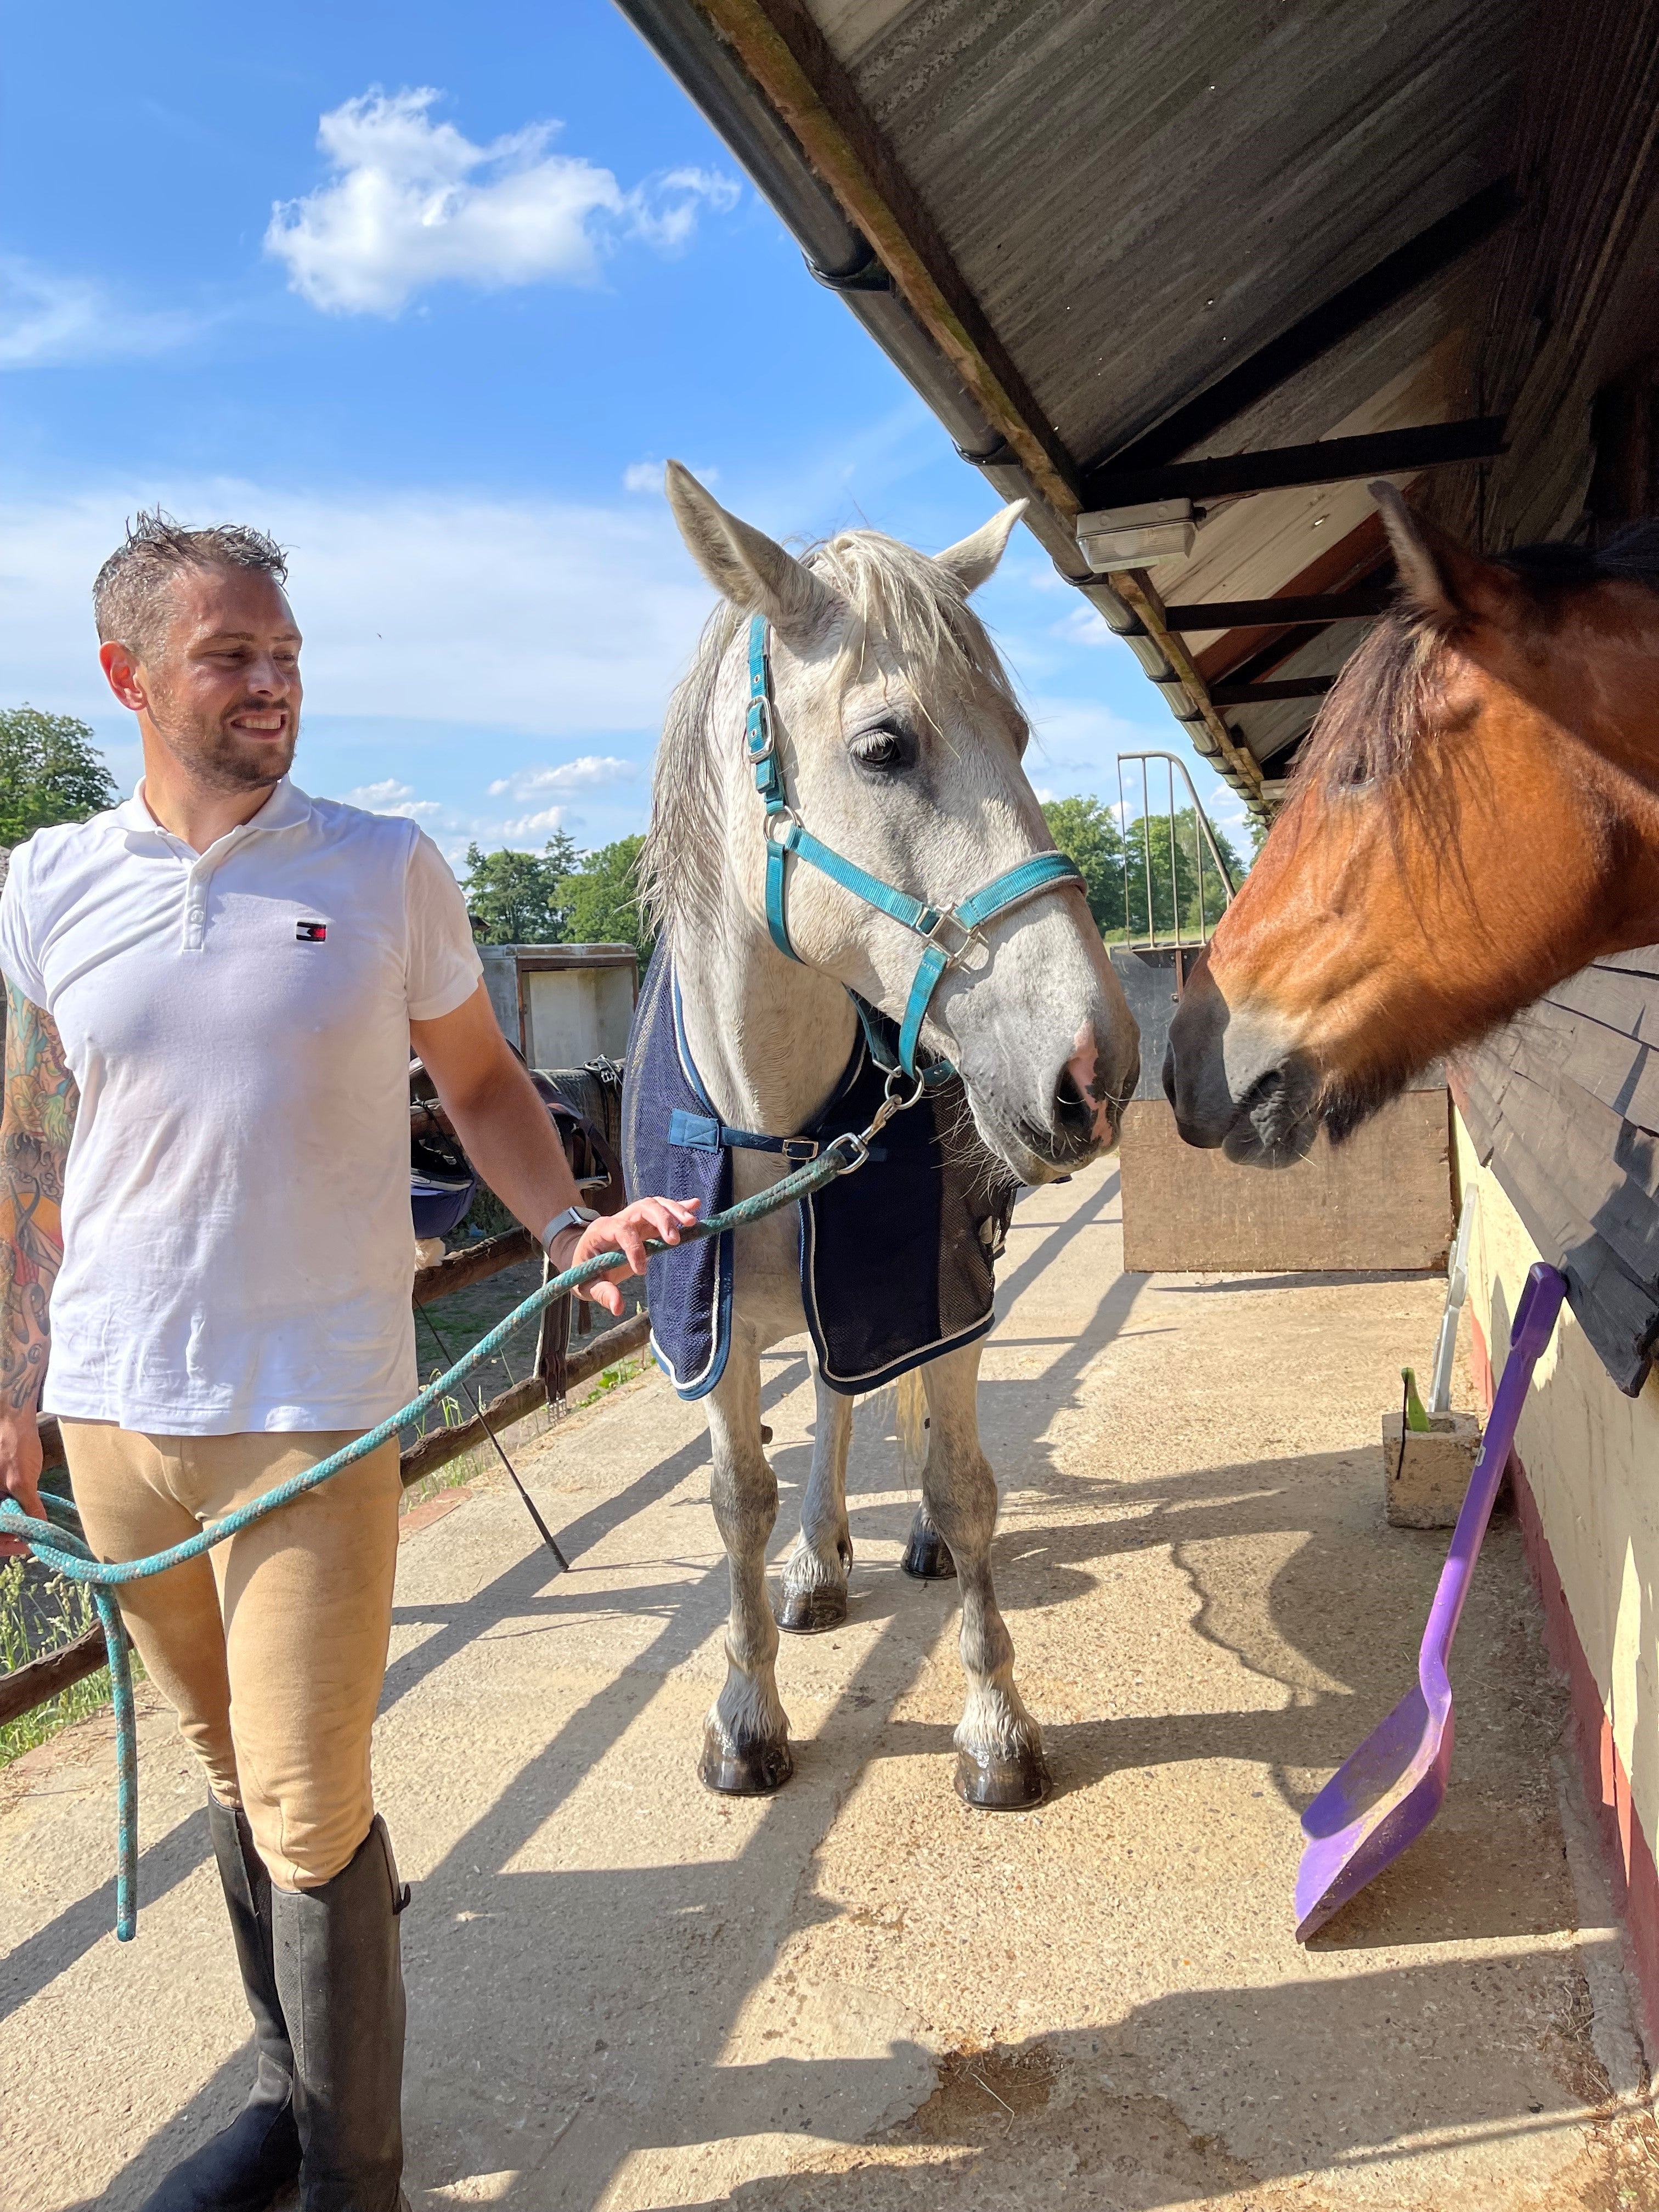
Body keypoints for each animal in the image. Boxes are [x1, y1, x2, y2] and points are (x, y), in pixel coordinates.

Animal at [624, 461, 1139, 1809]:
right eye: (883, 747)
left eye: (1019, 736)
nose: (1096, 1066)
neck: (773, 1113)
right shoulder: (707, 1331)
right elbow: (737, 1498)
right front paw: (746, 1714)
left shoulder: (935, 1288)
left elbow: (962, 1485)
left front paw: (996, 1725)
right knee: (834, 1411)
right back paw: (818, 1563)